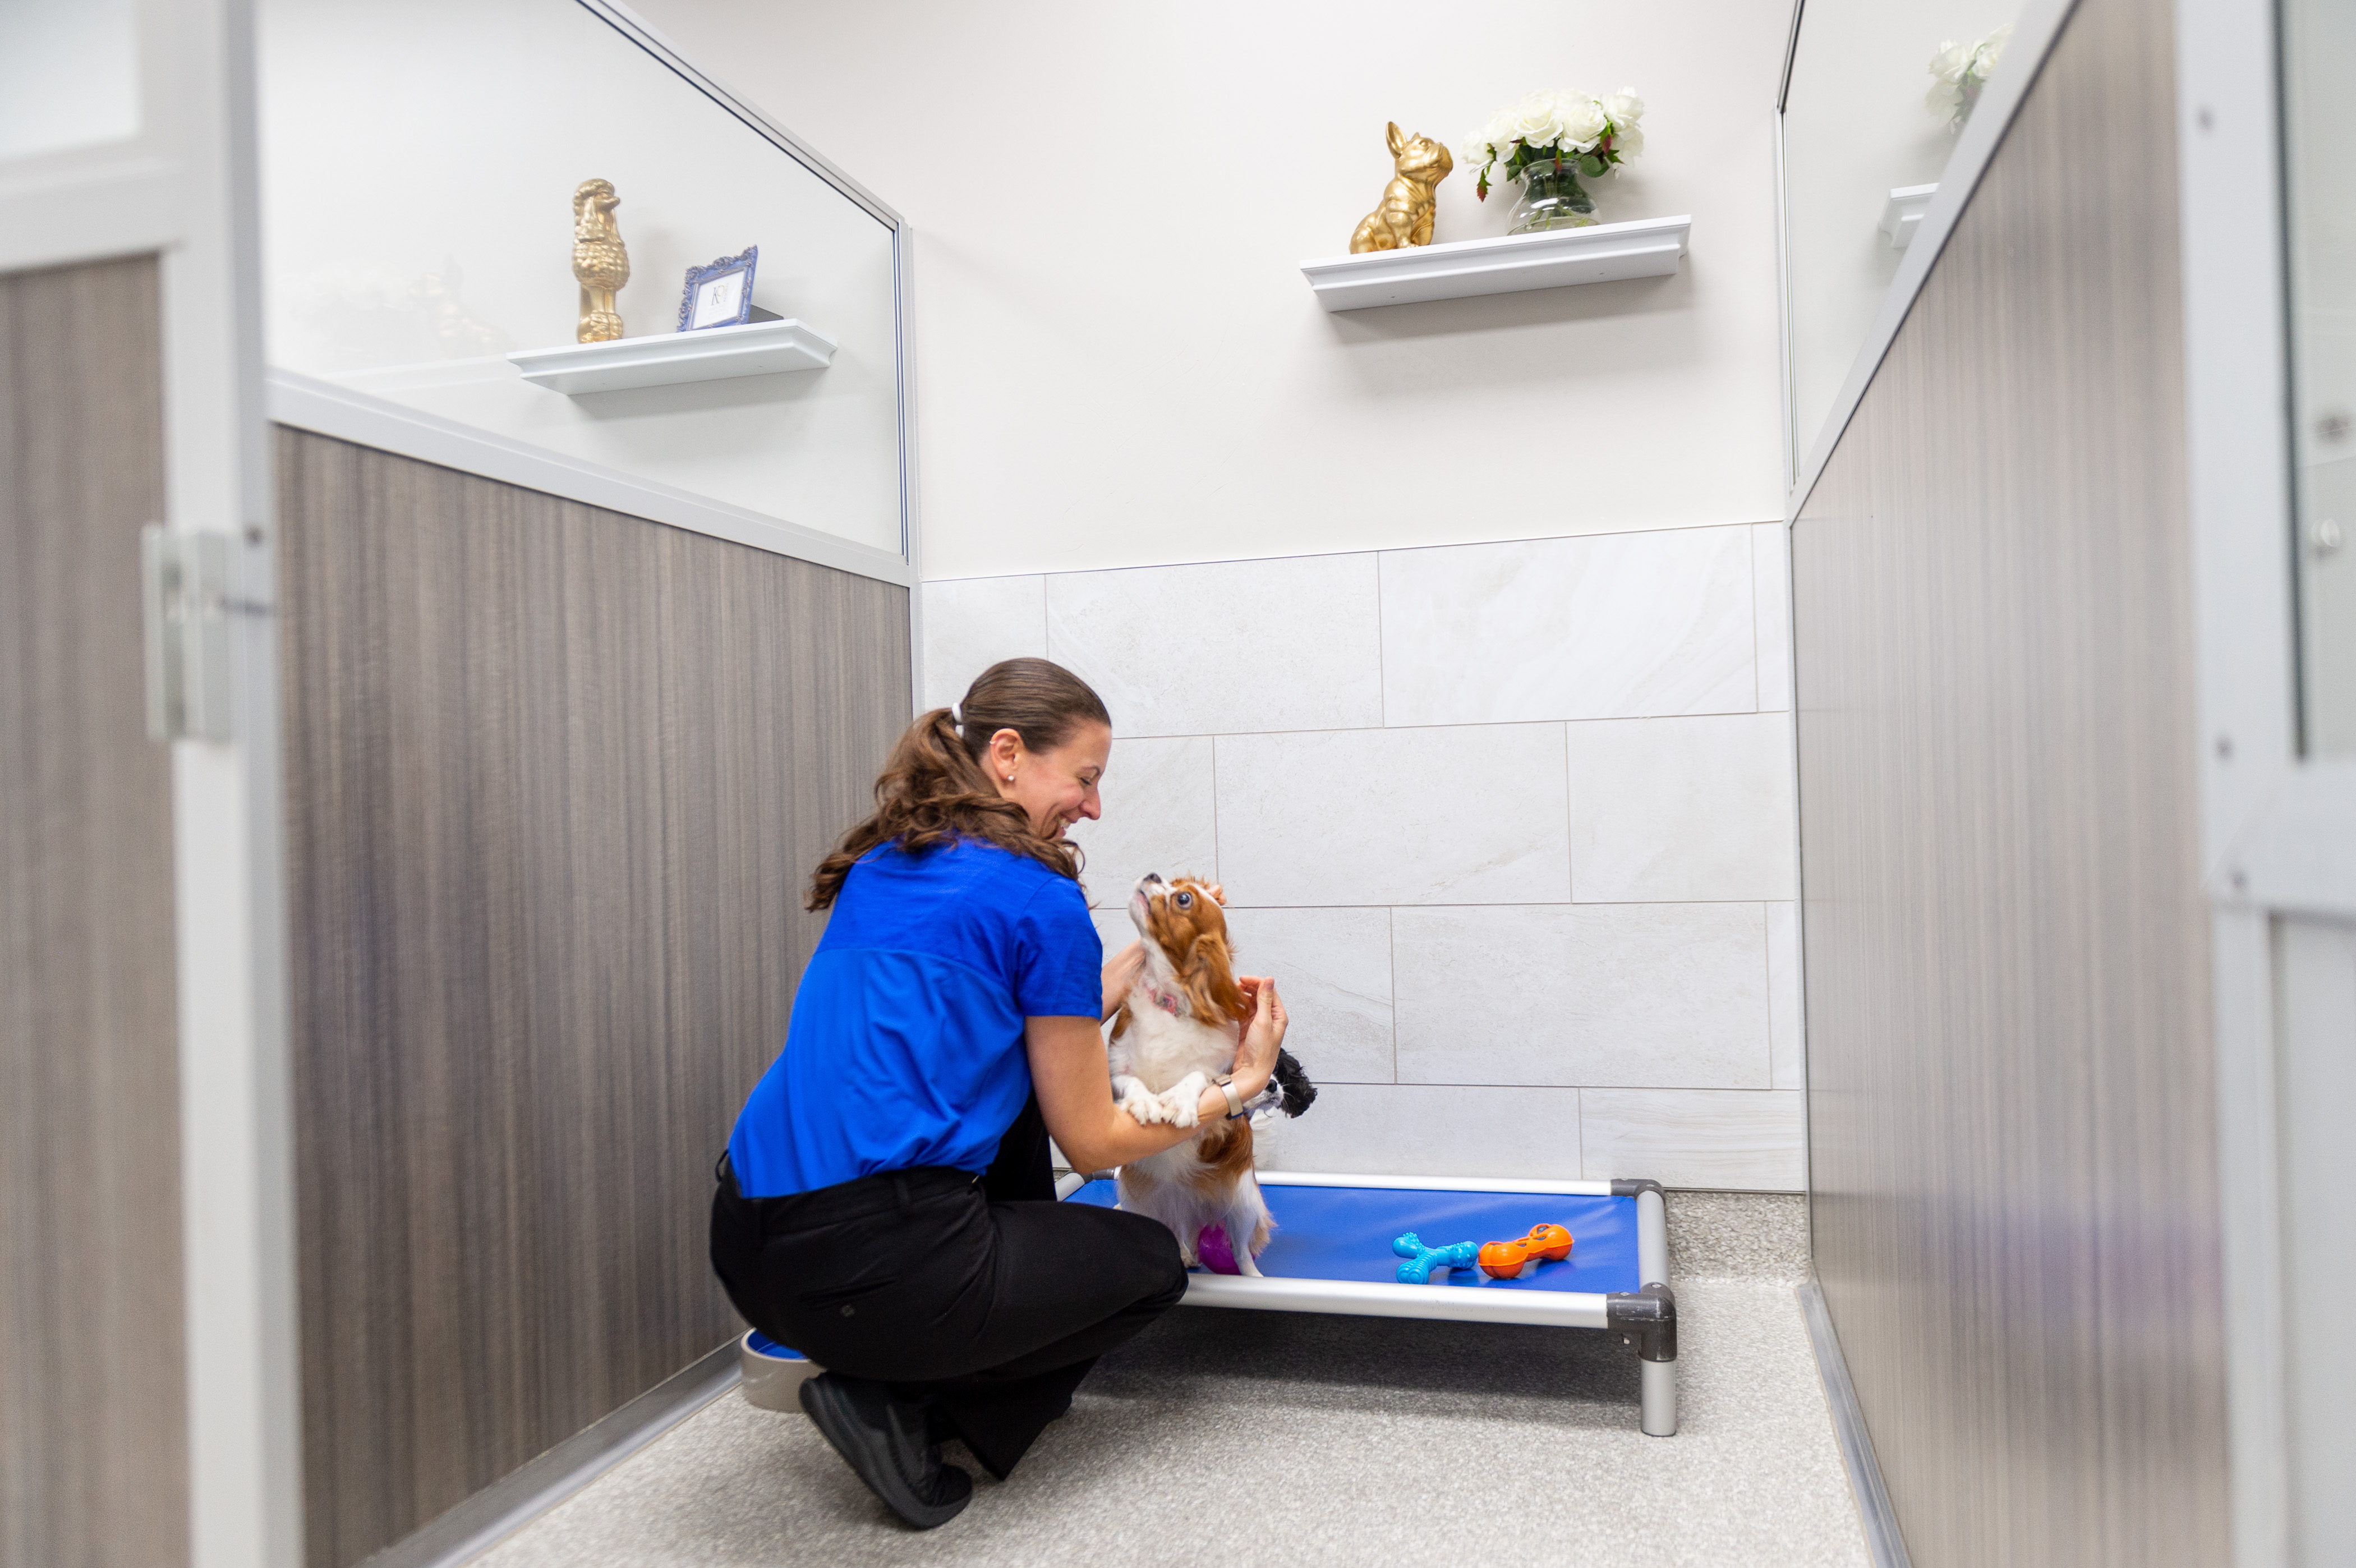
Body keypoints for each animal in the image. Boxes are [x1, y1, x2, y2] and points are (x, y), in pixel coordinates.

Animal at [1112, 867, 1281, 1273]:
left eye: (1183, 899)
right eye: (1174, 883)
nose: (1152, 873)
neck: (1169, 998)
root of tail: (1188, 1207)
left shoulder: (1218, 1071)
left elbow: (1199, 1076)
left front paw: (1179, 1101)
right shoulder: (1115, 1067)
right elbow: (1131, 1081)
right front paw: (1145, 1102)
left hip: (1242, 1199)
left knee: (1240, 1249)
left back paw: (1253, 1277)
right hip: (1145, 1202)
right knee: (1178, 1233)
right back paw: (1186, 1253)